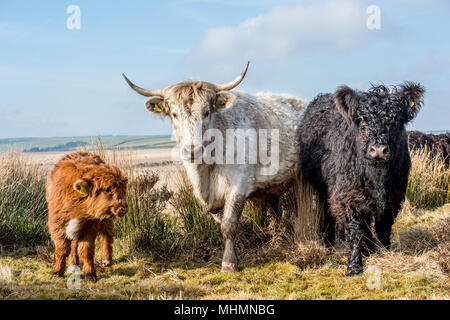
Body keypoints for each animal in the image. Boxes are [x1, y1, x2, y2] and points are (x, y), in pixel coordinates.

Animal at [46, 151, 127, 282]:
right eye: (107, 189)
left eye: (123, 189)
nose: (123, 208)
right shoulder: (57, 226)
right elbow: (62, 250)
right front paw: (57, 272)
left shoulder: (89, 227)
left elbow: (86, 251)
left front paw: (90, 274)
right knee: (73, 244)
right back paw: (73, 264)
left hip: (105, 219)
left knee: (106, 235)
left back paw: (106, 260)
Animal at [300, 82, 424, 276]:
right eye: (363, 122)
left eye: (395, 122)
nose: (379, 150)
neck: (377, 178)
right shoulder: (347, 195)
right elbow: (356, 231)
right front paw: (354, 266)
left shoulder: (395, 196)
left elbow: (383, 226)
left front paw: (384, 252)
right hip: (321, 186)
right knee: (327, 212)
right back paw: (328, 243)